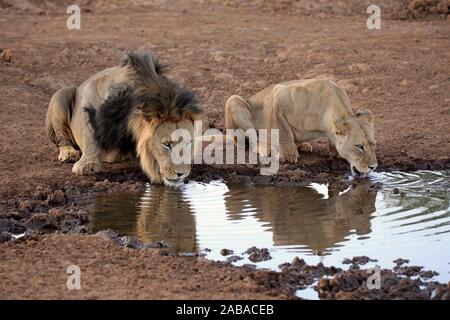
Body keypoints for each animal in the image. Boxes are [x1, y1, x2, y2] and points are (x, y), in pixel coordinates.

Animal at [45, 51, 200, 186]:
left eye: (189, 143)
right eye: (166, 144)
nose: (181, 174)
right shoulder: (92, 90)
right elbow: (90, 134)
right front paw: (87, 164)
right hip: (62, 93)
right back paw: (69, 153)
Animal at [225, 78, 376, 178]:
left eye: (373, 144)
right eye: (359, 146)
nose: (373, 167)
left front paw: (335, 153)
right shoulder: (279, 96)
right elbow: (284, 131)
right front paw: (289, 155)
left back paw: (303, 146)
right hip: (234, 100)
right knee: (248, 140)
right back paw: (265, 148)